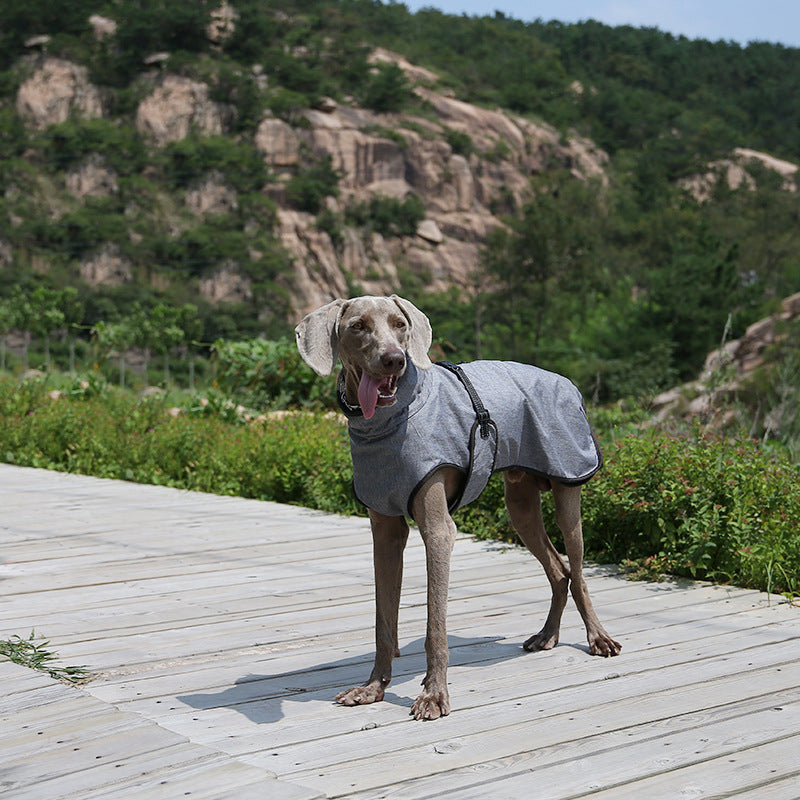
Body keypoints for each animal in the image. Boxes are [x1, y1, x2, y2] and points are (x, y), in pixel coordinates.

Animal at [294, 296, 620, 720]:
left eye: (400, 324)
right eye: (358, 326)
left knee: (577, 571)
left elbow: (435, 624)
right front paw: (373, 687)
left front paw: (434, 695)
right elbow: (383, 621)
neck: (386, 422)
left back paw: (599, 638)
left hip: (568, 488)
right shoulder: (385, 532)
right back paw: (547, 635)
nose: (394, 360)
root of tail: (565, 381)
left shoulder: (438, 530)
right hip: (520, 506)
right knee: (558, 570)